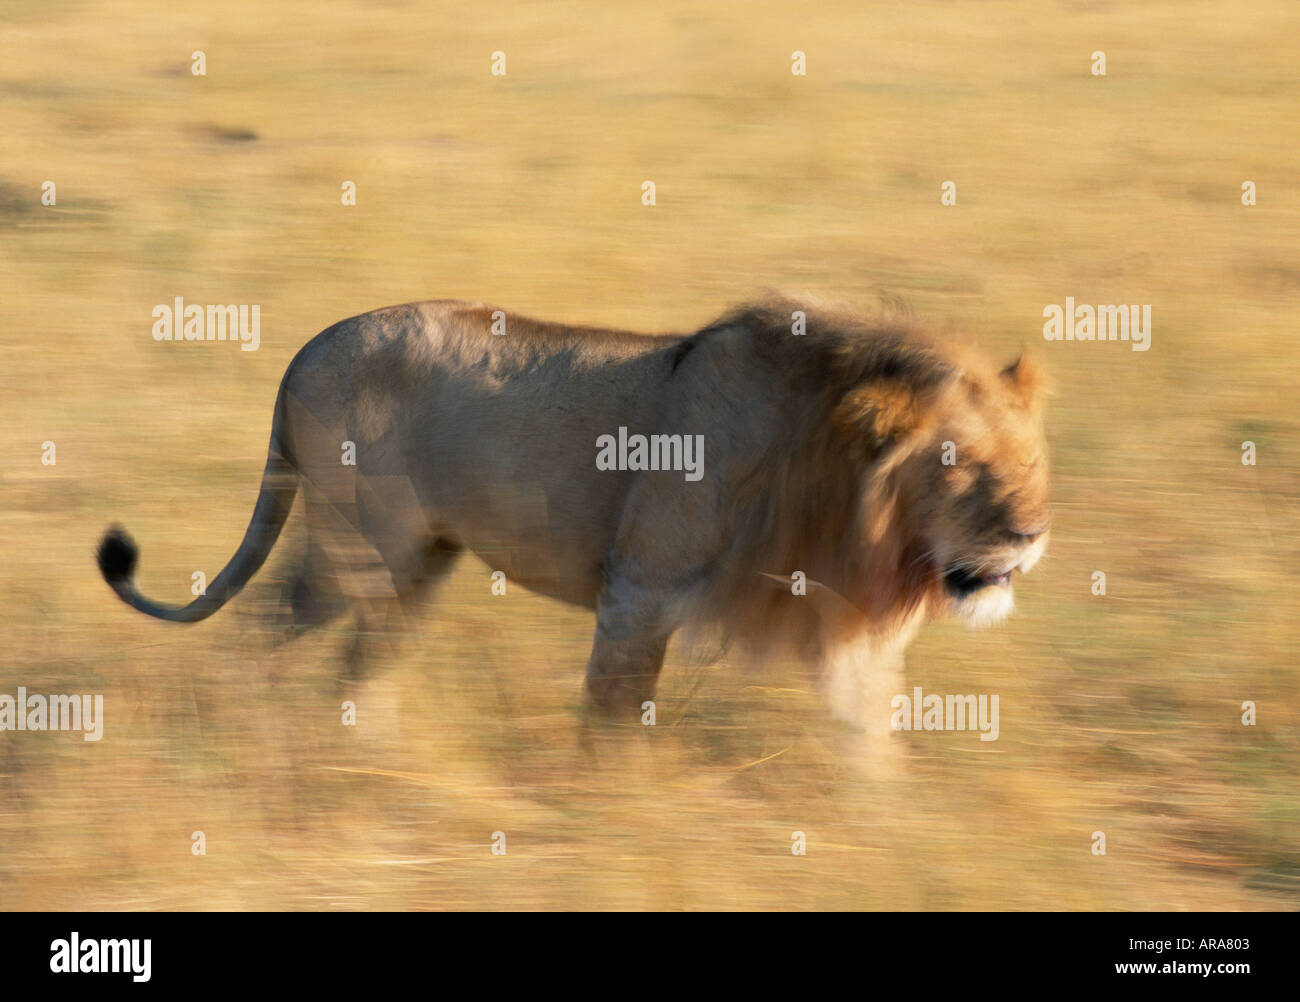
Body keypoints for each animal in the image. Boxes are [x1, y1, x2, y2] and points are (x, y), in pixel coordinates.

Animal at [97, 297, 1050, 737]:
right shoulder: (638, 593)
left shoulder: (845, 625)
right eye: (962, 468)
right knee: (268, 630)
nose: (1032, 536)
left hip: (419, 563)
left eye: (1031, 463)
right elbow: (613, 717)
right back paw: (253, 731)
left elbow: (870, 742)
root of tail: (302, 350)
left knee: (356, 658)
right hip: (363, 553)